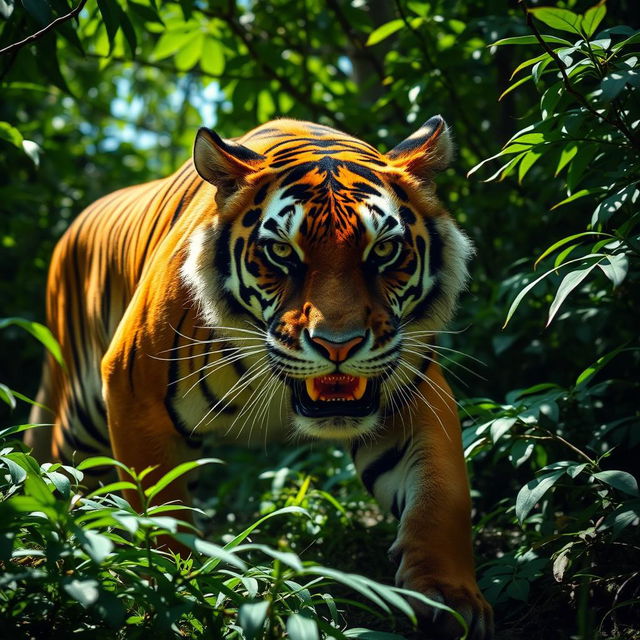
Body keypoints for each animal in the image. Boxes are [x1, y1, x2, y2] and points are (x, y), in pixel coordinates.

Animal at [28, 117, 496, 636]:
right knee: (63, 479)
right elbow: (159, 512)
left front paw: (449, 599)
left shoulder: (414, 395)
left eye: (385, 250)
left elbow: (443, 496)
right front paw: (169, 596)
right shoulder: (136, 397)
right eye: (280, 253)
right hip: (78, 422)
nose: (338, 344)